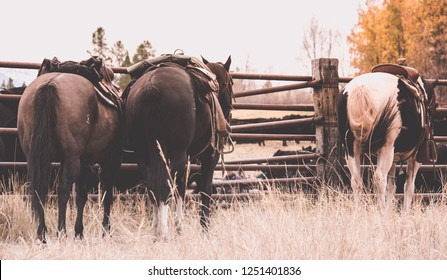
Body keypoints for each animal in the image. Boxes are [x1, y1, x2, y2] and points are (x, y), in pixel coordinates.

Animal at [17, 69, 122, 241]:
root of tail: (49, 84)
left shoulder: (84, 160)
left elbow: (81, 195)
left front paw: (79, 232)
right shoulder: (111, 160)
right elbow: (105, 194)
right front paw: (104, 231)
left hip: (34, 158)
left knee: (38, 190)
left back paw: (42, 233)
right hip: (72, 158)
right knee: (63, 190)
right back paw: (61, 231)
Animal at [124, 55, 233, 237]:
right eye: (231, 83)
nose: (229, 114)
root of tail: (151, 87)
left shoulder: (187, 161)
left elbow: (180, 190)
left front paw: (179, 226)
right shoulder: (209, 157)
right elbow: (205, 190)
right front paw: (205, 227)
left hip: (144, 156)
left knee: (154, 187)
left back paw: (156, 228)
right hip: (176, 155)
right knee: (165, 186)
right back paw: (163, 231)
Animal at [340, 65, 438, 210]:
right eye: (435, 105)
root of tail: (360, 89)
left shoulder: (394, 158)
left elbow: (392, 187)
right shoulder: (415, 158)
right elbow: (409, 187)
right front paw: (404, 212)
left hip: (351, 148)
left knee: (356, 180)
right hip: (386, 148)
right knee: (379, 179)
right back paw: (380, 210)